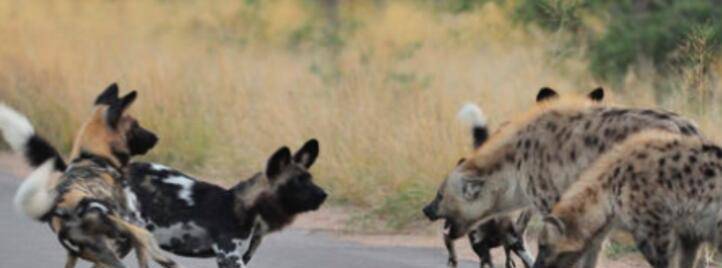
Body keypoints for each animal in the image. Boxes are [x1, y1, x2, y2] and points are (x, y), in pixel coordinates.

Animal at [2, 84, 179, 268]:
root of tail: (63, 210)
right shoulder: (130, 224)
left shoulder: (75, 256)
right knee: (145, 239)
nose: (156, 137)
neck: (93, 155)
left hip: (103, 254)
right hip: (120, 234)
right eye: (136, 125)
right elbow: (146, 251)